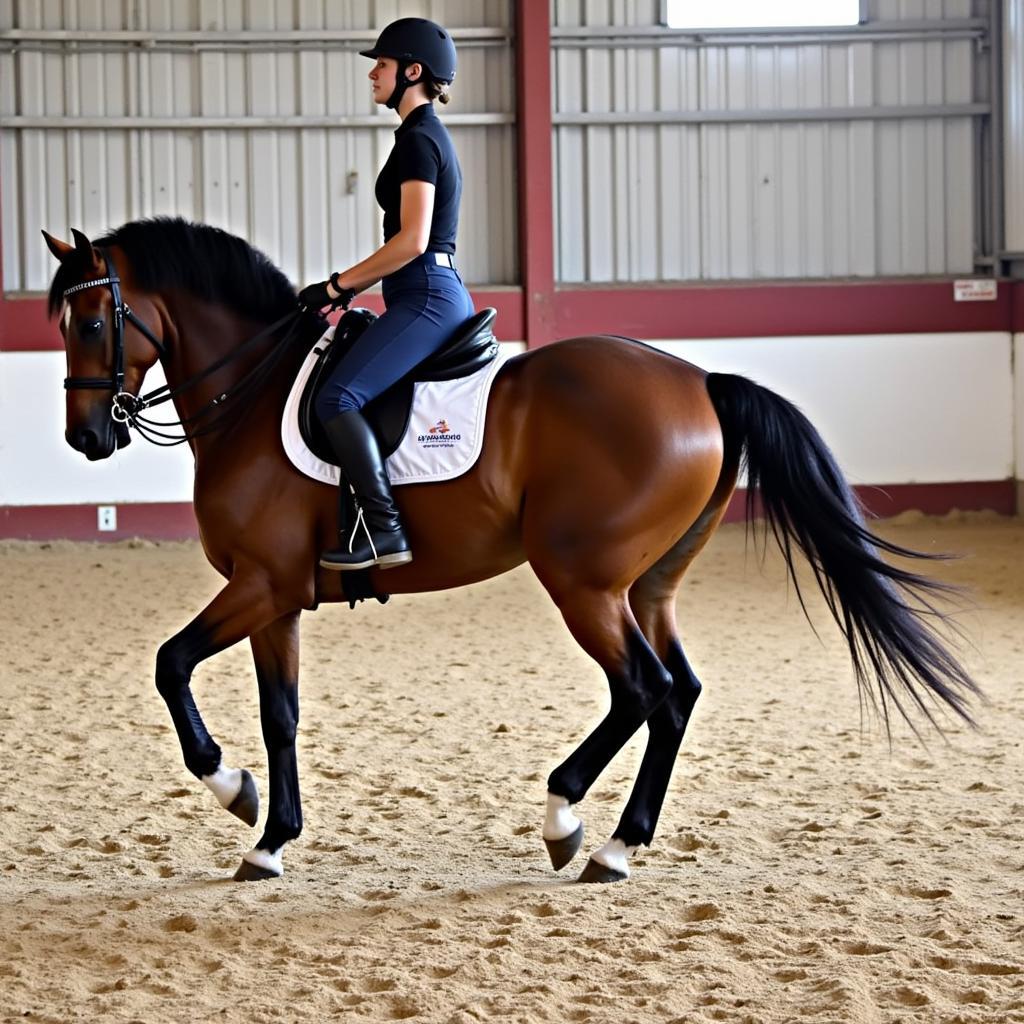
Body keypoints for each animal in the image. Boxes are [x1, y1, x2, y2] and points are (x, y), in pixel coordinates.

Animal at [44, 220, 978, 884]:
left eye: (91, 320)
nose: (87, 439)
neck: (252, 390)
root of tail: (701, 383)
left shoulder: (259, 585)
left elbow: (170, 664)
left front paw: (228, 787)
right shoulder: (275, 596)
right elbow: (281, 717)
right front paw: (270, 839)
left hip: (583, 582)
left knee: (646, 690)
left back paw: (571, 823)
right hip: (647, 587)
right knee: (677, 692)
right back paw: (615, 843)